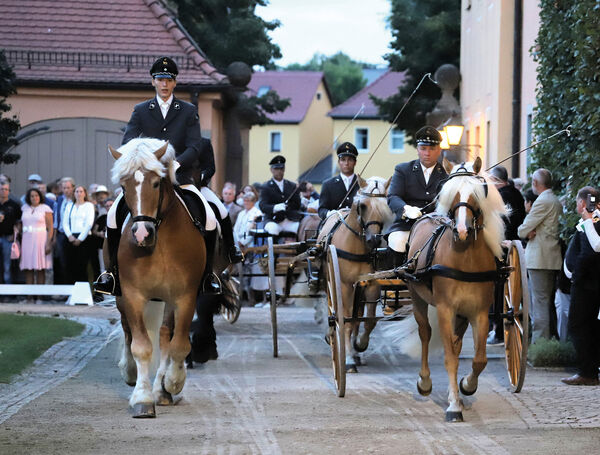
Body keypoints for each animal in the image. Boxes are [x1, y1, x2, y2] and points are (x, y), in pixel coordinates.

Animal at [105, 139, 204, 420]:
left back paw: (163, 389)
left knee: (165, 335)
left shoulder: (185, 296)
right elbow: (141, 346)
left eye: (157, 183)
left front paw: (172, 383)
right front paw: (142, 398)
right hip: (122, 297)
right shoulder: (133, 295)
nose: (141, 234)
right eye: (124, 185)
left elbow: (178, 345)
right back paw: (130, 372)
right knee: (128, 330)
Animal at [318, 176, 394, 372]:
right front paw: (348, 359)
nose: (374, 240)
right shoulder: (343, 285)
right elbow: (345, 319)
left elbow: (367, 320)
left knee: (357, 317)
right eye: (363, 206)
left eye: (385, 206)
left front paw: (359, 346)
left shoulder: (371, 285)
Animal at [406, 158, 508, 424]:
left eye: (476, 194)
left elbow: (479, 359)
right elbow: (450, 358)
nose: (462, 231)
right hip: (418, 297)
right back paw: (424, 382)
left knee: (456, 341)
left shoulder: (479, 313)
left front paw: (466, 386)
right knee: (425, 333)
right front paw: (453, 406)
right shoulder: (445, 310)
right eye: (451, 194)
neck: (465, 259)